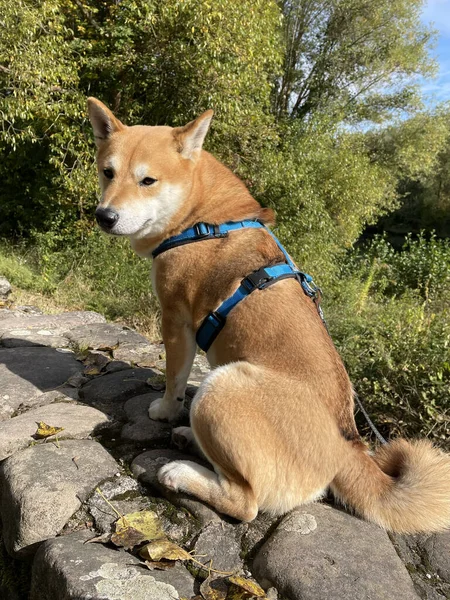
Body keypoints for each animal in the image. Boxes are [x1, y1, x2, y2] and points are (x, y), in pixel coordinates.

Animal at [88, 98, 450, 536]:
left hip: (222, 386)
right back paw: (188, 438)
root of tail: (348, 448)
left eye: (148, 181)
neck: (203, 216)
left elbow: (174, 379)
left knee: (245, 502)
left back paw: (180, 470)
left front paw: (164, 409)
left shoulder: (175, 320)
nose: (104, 216)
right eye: (108, 172)